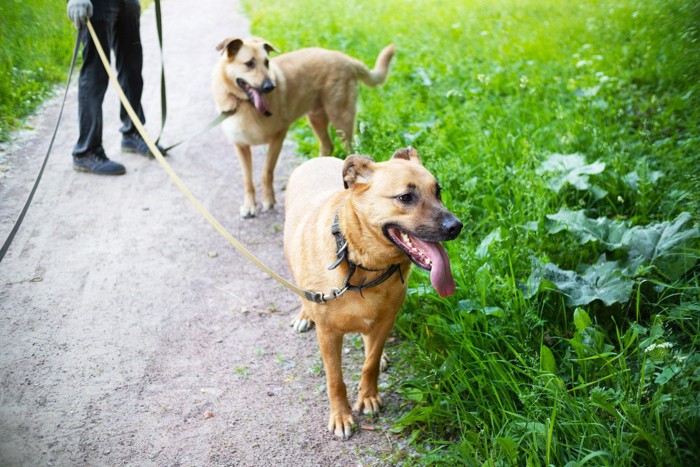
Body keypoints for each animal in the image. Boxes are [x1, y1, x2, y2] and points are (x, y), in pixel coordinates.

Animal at [211, 37, 396, 218]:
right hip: (316, 118)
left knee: (350, 149)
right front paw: (249, 205)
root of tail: (346, 58)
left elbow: (266, 172)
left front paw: (268, 200)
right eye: (249, 63)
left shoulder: (278, 136)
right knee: (327, 146)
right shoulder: (241, 146)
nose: (270, 86)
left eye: (266, 62)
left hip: (340, 119)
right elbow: (247, 179)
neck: (245, 104)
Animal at [282, 147, 462, 438]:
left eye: (438, 191)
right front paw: (341, 415)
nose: (456, 226)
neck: (362, 266)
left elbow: (370, 363)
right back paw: (303, 315)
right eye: (406, 197)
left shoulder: (386, 320)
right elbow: (335, 379)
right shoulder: (328, 334)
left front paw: (367, 396)